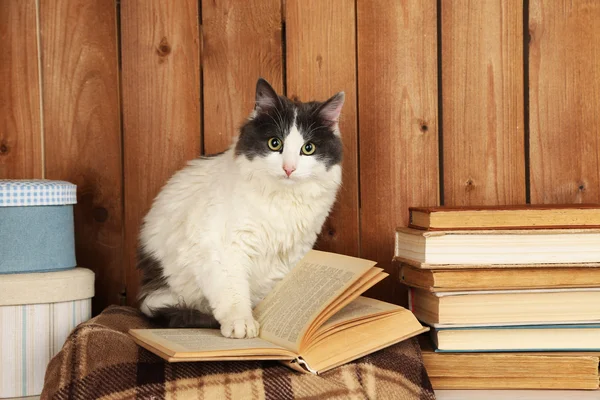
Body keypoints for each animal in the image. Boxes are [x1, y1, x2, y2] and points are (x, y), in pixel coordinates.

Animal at [135, 77, 342, 338]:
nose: (289, 168)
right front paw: (241, 324)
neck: (281, 200)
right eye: (275, 143)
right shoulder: (222, 248)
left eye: (308, 148)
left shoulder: (291, 255)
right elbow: (232, 292)